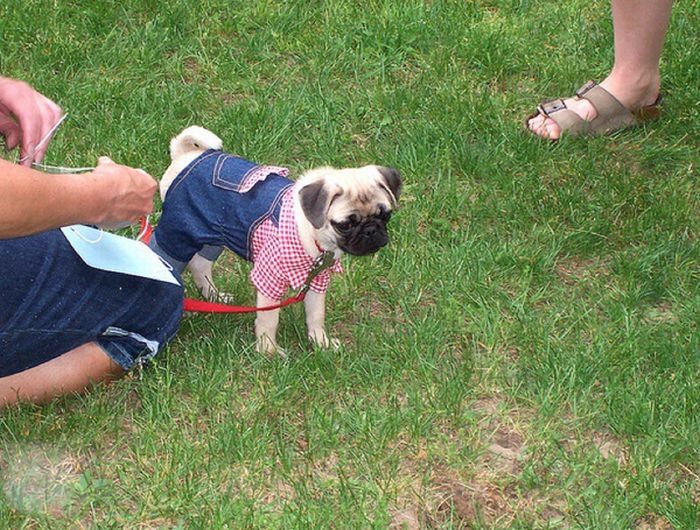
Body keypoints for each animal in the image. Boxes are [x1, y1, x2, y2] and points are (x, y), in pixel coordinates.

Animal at [149, 126, 400, 352]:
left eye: (385, 215)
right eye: (346, 225)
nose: (371, 230)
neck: (311, 235)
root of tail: (185, 156)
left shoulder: (317, 280)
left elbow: (316, 314)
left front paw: (321, 343)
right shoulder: (269, 279)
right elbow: (269, 320)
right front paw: (268, 351)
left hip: (215, 237)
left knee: (200, 264)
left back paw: (214, 297)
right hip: (179, 232)